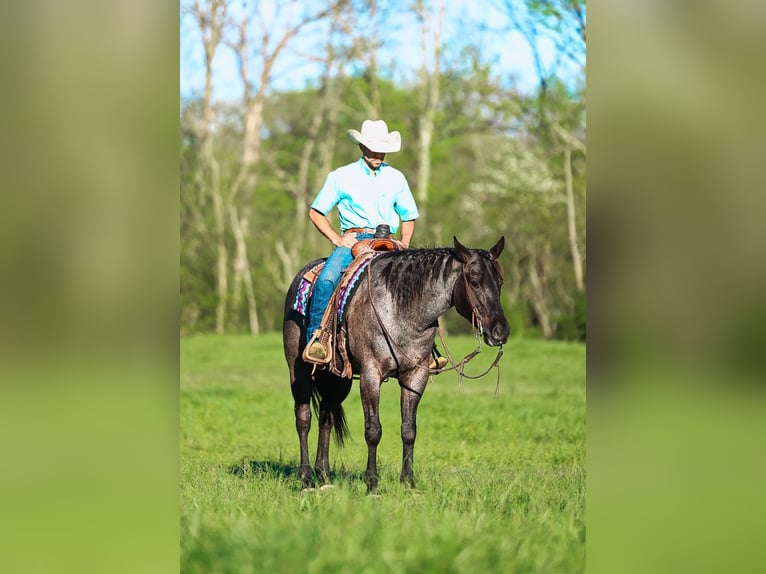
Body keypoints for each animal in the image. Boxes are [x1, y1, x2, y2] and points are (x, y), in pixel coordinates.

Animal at [282, 236, 510, 492]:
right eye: (474, 281)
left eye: (500, 282)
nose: (501, 331)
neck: (400, 310)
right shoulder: (371, 375)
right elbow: (373, 430)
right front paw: (372, 484)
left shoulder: (415, 376)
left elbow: (409, 430)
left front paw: (408, 483)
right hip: (299, 371)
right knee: (303, 418)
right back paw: (306, 477)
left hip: (339, 378)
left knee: (326, 417)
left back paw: (323, 476)